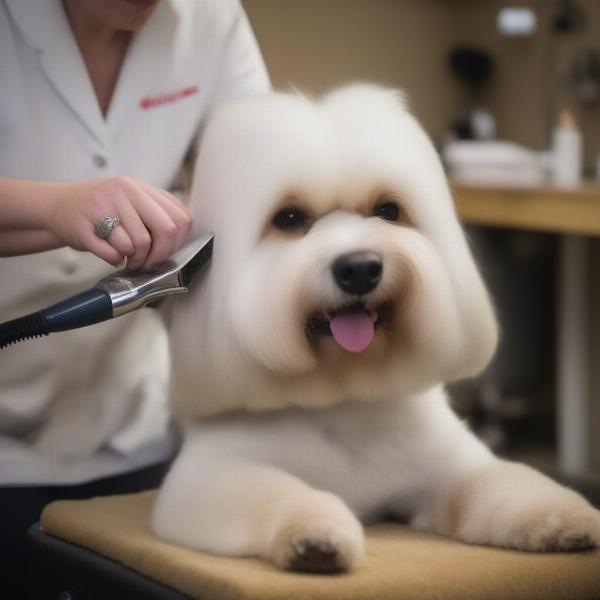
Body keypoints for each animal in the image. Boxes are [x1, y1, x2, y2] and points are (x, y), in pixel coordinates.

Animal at [151, 84, 600, 572]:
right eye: (288, 218)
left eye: (388, 210)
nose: (360, 268)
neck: (346, 395)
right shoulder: (207, 478)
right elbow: (278, 493)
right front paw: (317, 537)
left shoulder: (452, 468)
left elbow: (502, 484)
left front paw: (567, 516)